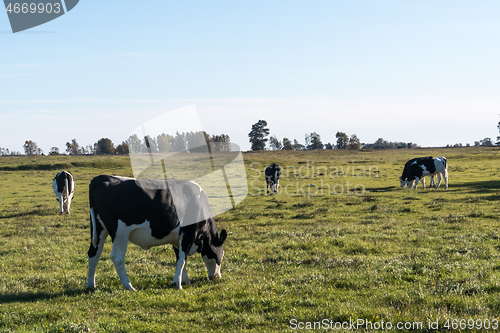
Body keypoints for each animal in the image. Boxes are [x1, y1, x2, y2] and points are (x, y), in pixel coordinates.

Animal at [87, 175, 228, 290]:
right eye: (221, 254)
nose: (217, 276)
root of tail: (103, 178)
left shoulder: (177, 238)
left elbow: (179, 258)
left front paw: (184, 280)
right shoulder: (189, 233)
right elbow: (182, 260)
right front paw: (178, 284)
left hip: (99, 229)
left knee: (94, 254)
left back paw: (91, 285)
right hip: (120, 232)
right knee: (117, 257)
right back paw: (128, 286)